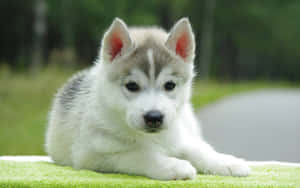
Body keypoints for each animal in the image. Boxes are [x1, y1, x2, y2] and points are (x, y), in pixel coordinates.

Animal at [45, 18, 251, 181]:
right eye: (132, 86)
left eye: (170, 85)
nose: (154, 117)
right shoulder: (92, 155)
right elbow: (140, 155)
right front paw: (174, 165)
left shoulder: (178, 136)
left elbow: (198, 149)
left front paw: (226, 162)